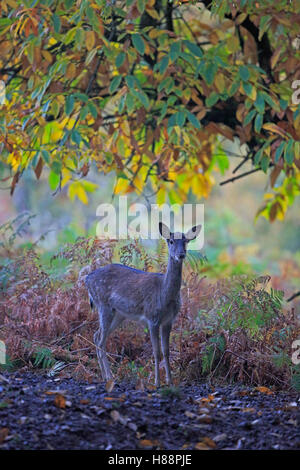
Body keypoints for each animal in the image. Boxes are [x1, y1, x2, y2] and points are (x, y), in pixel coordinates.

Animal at [84, 222, 202, 388]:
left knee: (96, 335)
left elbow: (166, 351)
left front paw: (170, 382)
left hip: (119, 314)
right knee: (101, 340)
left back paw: (104, 376)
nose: (181, 254)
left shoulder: (169, 321)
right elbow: (156, 351)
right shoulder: (152, 318)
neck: (164, 294)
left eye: (186, 241)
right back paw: (109, 377)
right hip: (103, 305)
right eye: (171, 241)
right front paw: (157, 383)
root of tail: (86, 280)